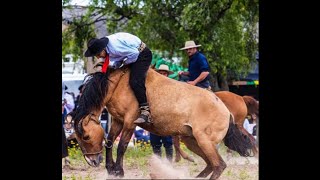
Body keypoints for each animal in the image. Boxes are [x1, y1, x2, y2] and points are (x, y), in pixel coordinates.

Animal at [69, 66, 252, 180]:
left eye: (85, 136)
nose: (92, 161)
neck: (119, 84)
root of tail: (225, 110)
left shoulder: (129, 121)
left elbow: (121, 146)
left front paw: (118, 171)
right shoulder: (117, 120)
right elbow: (109, 142)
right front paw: (110, 169)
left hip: (204, 141)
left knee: (219, 165)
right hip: (192, 141)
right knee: (210, 165)